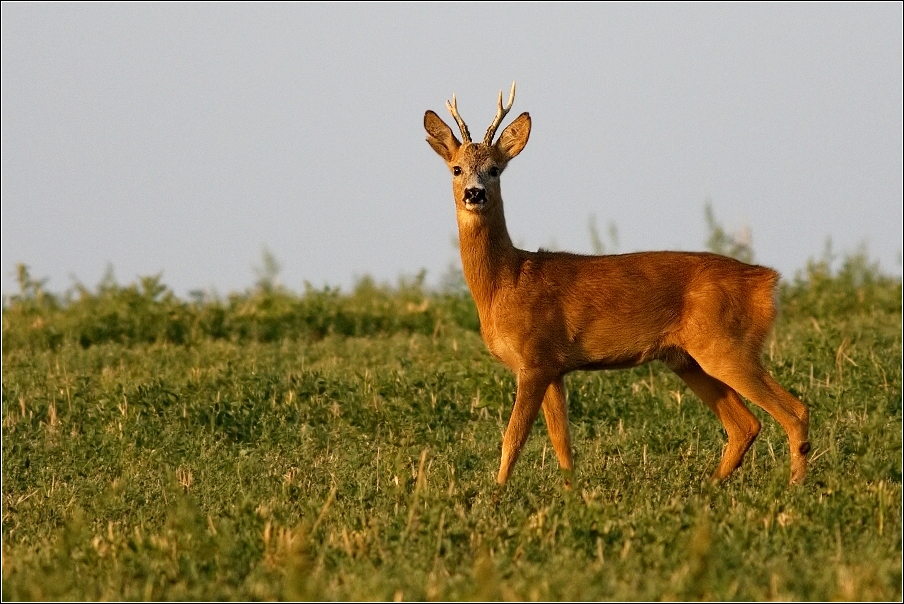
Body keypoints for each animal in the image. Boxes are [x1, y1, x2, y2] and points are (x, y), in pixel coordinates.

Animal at [424, 82, 812, 488]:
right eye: (456, 168)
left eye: (495, 170)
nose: (474, 193)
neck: (506, 281)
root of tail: (767, 281)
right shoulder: (553, 366)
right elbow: (562, 443)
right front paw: (571, 493)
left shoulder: (535, 358)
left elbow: (513, 439)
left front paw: (497, 493)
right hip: (688, 357)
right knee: (745, 425)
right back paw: (709, 488)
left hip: (727, 344)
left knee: (795, 410)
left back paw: (794, 487)